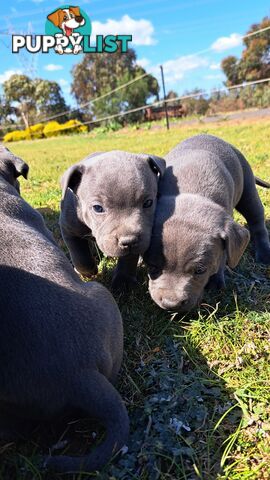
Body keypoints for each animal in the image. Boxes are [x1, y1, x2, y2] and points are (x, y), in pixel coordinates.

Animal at [59, 152, 165, 290]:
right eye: (97, 208)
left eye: (148, 203)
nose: (129, 241)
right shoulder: (68, 228)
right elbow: (80, 256)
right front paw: (88, 271)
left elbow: (128, 259)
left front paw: (123, 282)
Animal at [143, 135, 270, 314]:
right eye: (152, 267)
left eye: (200, 270)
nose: (171, 304)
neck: (190, 192)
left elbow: (222, 257)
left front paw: (216, 282)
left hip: (248, 189)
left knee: (257, 221)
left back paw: (264, 254)